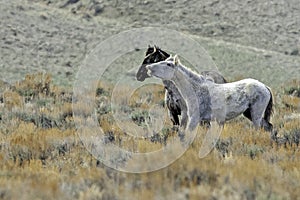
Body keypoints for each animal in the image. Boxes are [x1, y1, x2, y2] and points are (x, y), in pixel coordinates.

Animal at [146, 55, 274, 132]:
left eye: (168, 64)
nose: (149, 67)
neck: (196, 89)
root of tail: (265, 87)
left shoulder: (194, 118)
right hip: (249, 113)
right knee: (269, 127)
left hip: (256, 114)